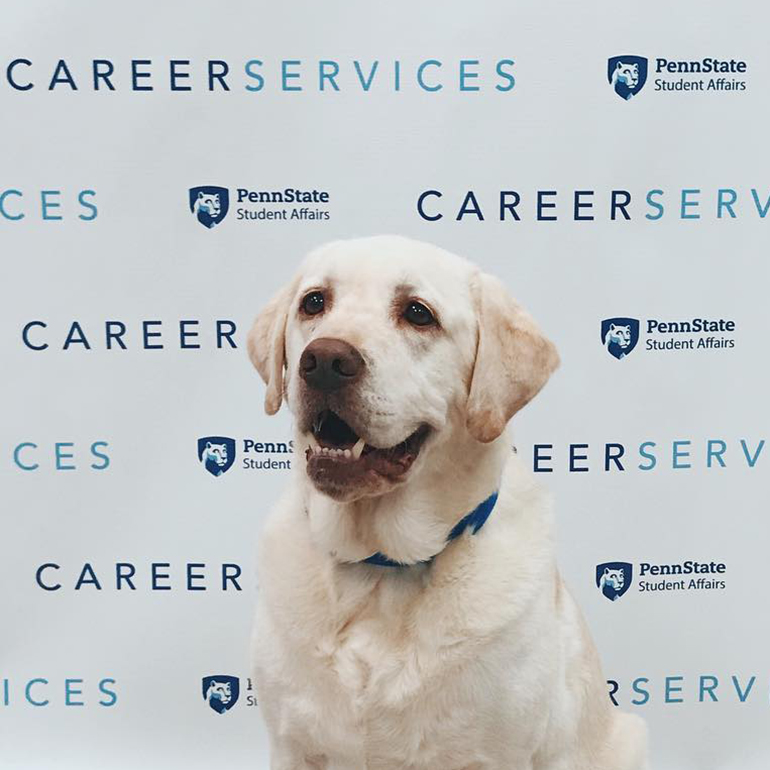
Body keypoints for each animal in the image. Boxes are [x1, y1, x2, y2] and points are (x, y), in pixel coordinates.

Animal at [249, 236, 644, 768]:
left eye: (419, 313)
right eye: (314, 302)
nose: (325, 362)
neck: (380, 567)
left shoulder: (494, 754)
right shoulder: (291, 744)